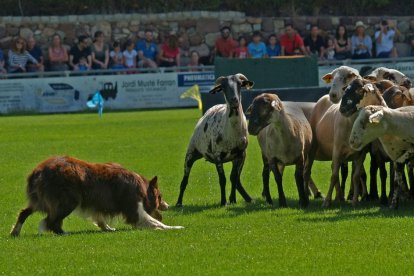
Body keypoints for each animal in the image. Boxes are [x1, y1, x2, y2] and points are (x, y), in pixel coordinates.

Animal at [175, 73, 254, 207]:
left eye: (239, 84)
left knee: (237, 179)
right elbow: (222, 179)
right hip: (191, 153)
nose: (234, 100)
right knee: (184, 180)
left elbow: (234, 177)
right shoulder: (218, 155)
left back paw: (247, 198)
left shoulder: (240, 154)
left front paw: (233, 200)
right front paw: (223, 202)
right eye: (223, 87)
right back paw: (179, 203)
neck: (231, 131)